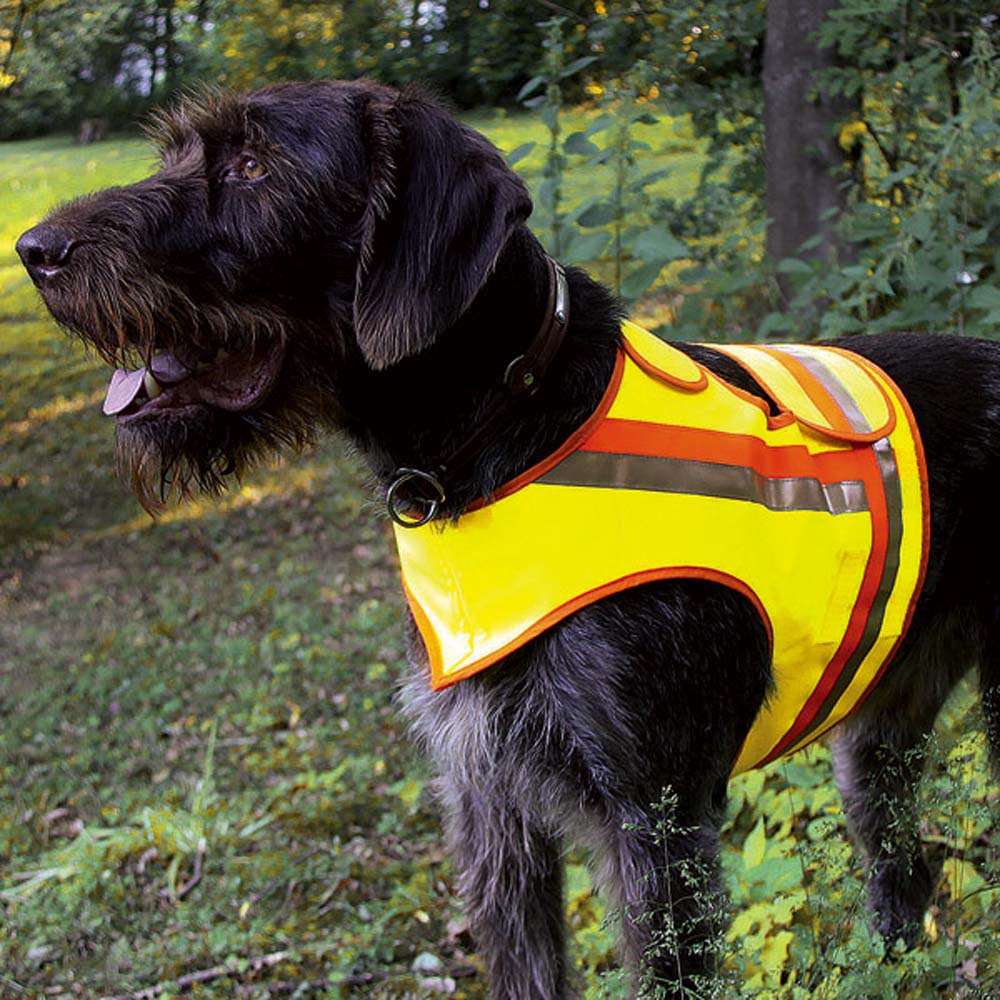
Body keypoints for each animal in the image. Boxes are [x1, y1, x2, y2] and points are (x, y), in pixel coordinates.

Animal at [13, 82, 1000, 996]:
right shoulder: (487, 798)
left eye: (254, 166)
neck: (499, 436)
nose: (34, 250)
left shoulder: (657, 821)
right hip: (878, 732)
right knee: (902, 871)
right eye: (178, 152)